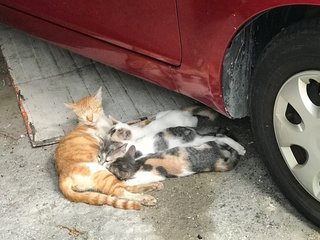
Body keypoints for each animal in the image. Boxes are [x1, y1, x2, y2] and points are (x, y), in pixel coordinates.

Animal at [107, 141, 240, 186]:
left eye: (112, 169)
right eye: (113, 162)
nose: (107, 166)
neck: (138, 163)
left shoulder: (155, 175)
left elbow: (136, 180)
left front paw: (127, 182)